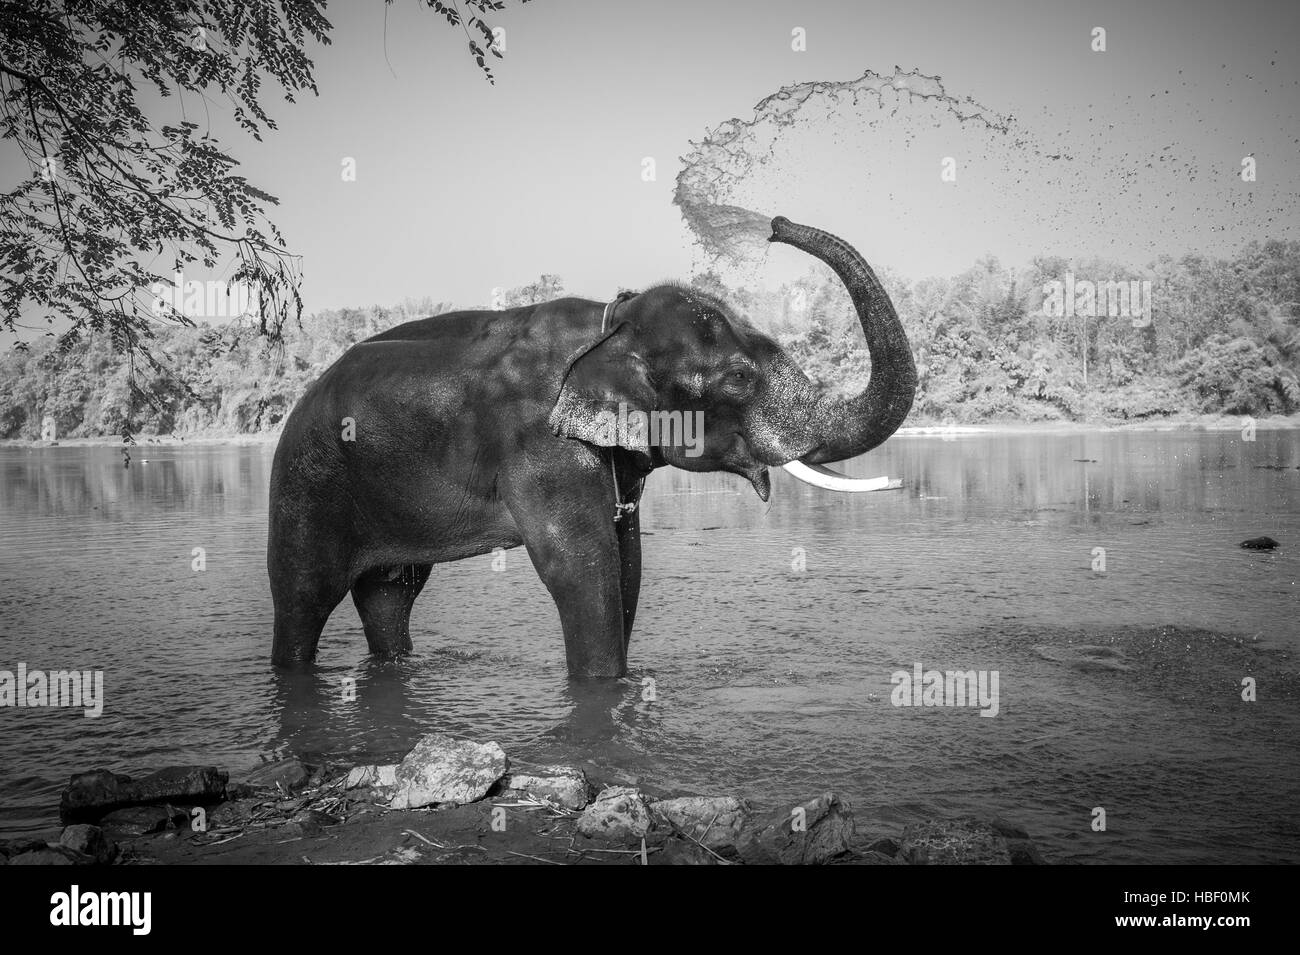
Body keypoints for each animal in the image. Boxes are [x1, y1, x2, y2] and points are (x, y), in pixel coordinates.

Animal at [266, 218, 915, 680]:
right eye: (737, 378)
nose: (776, 224)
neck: (612, 321)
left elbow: (627, 562)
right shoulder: (543, 446)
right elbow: (581, 567)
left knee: (389, 593)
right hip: (306, 481)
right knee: (303, 594)